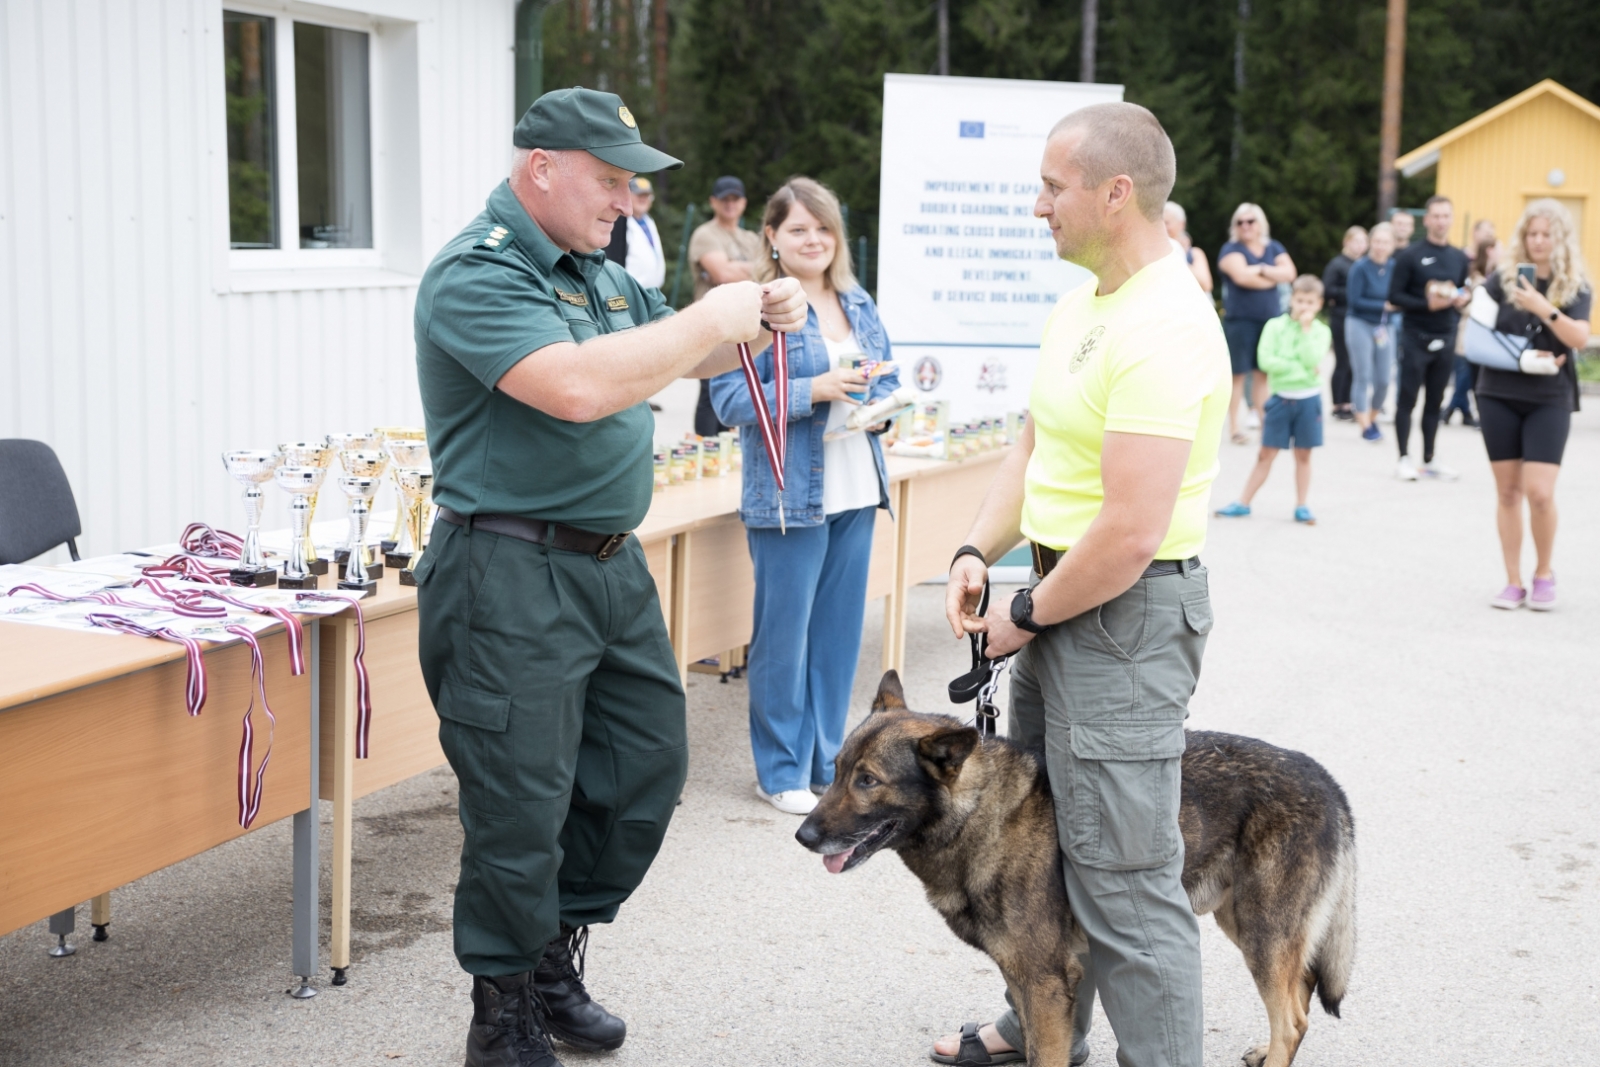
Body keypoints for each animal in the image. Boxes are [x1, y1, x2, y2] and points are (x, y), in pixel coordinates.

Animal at [793, 675, 1356, 1067]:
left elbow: (1047, 1056)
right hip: (1244, 924)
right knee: (1299, 995)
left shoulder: (1044, 982)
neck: (980, 813)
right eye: (836, 771)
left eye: (869, 781)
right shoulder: (1027, 977)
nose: (803, 836)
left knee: (1292, 1020)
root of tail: (1327, 781)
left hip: (1263, 936)